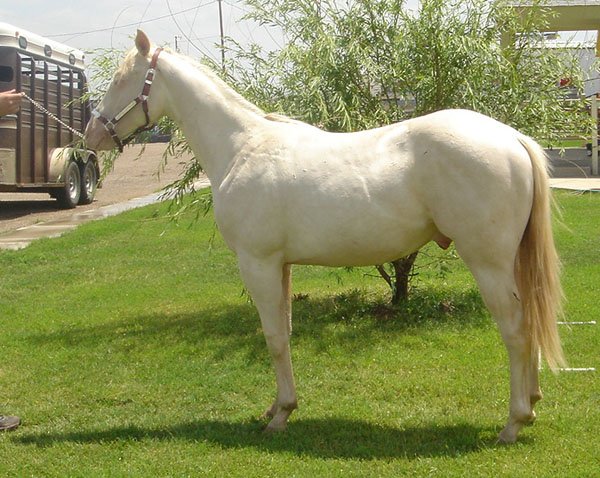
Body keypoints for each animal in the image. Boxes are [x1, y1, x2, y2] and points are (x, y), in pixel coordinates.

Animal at [85, 30, 568, 444]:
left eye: (121, 79)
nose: (91, 136)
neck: (242, 147)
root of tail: (511, 137)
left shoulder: (257, 263)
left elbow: (273, 337)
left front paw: (280, 415)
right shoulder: (280, 266)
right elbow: (284, 332)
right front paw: (278, 406)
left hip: (487, 262)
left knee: (515, 329)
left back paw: (514, 421)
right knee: (530, 321)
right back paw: (533, 402)